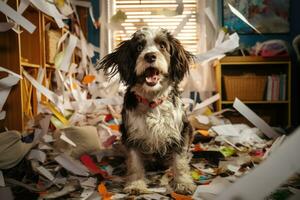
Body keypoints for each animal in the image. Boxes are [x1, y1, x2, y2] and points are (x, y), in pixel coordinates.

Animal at [97, 27, 196, 195]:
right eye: (138, 47)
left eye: (162, 45)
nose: (150, 56)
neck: (152, 101)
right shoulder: (131, 135)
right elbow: (135, 163)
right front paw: (135, 184)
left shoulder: (180, 132)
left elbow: (180, 162)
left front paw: (183, 183)